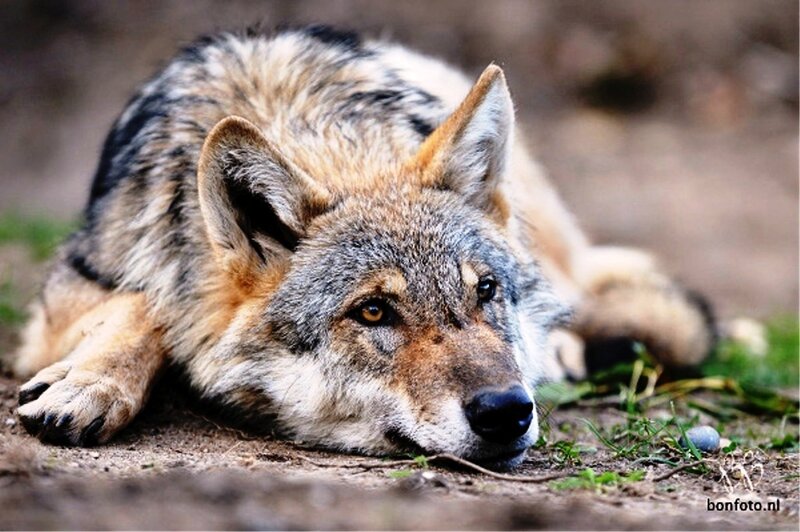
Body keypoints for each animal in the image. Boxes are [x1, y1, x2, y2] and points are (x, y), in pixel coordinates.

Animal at [13, 26, 715, 470]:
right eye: (373, 311)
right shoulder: (67, 289)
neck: (295, 116)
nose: (509, 411)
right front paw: (88, 383)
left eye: (485, 289)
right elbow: (145, 308)